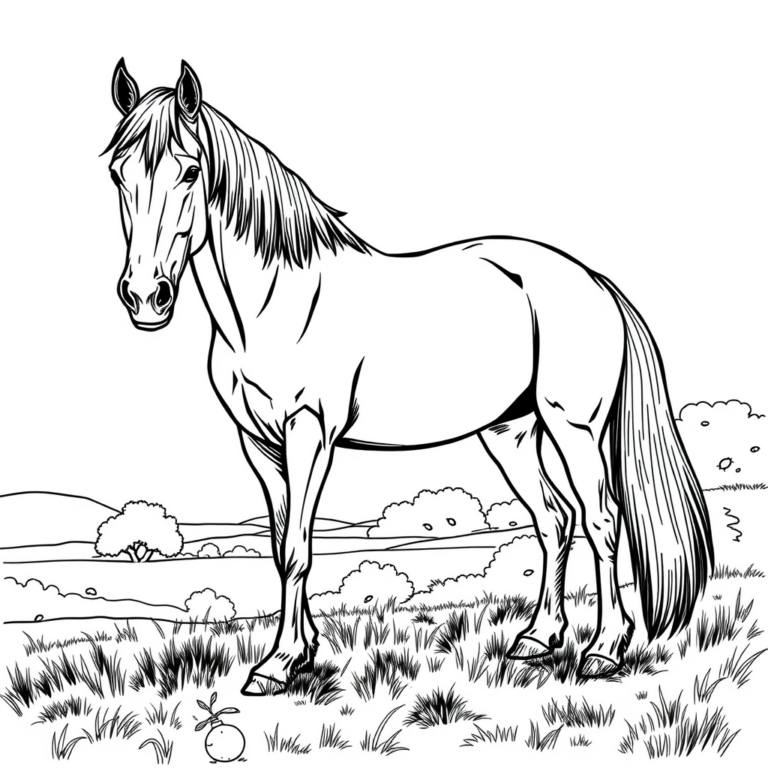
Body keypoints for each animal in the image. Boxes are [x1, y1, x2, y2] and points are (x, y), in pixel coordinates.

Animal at [104, 59, 714, 694]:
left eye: (190, 170)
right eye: (118, 173)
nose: (145, 297)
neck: (275, 305)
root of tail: (593, 280)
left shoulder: (309, 432)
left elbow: (296, 549)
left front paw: (278, 664)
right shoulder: (260, 444)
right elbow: (280, 546)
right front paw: (302, 651)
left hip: (574, 428)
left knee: (600, 520)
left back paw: (603, 649)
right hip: (512, 432)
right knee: (554, 520)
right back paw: (538, 639)